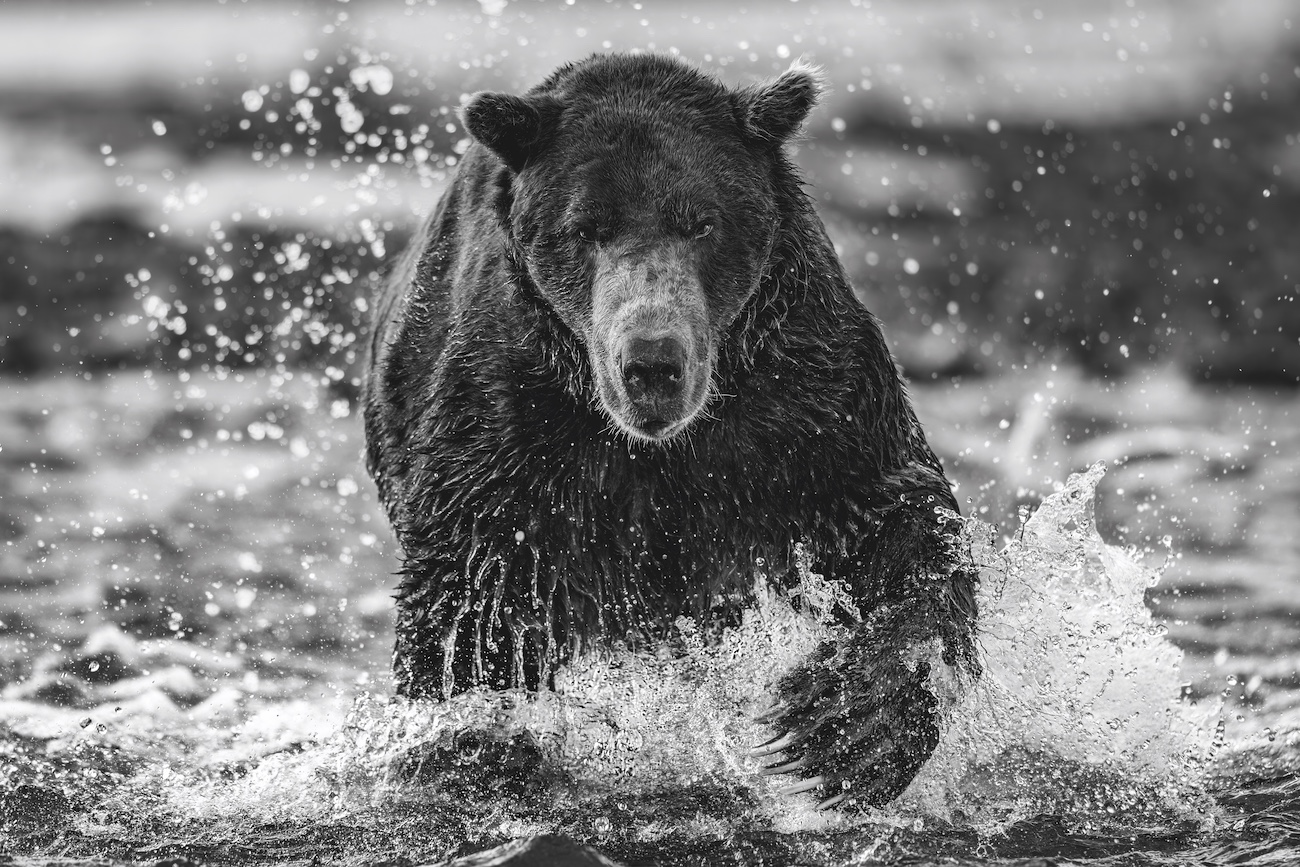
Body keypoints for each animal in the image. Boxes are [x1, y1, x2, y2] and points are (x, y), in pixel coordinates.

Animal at [362, 53, 979, 809]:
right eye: (585, 227)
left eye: (701, 223)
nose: (652, 361)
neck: (658, 447)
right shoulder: (510, 430)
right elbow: (475, 600)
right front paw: (477, 745)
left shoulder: (806, 407)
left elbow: (900, 521)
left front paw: (842, 725)